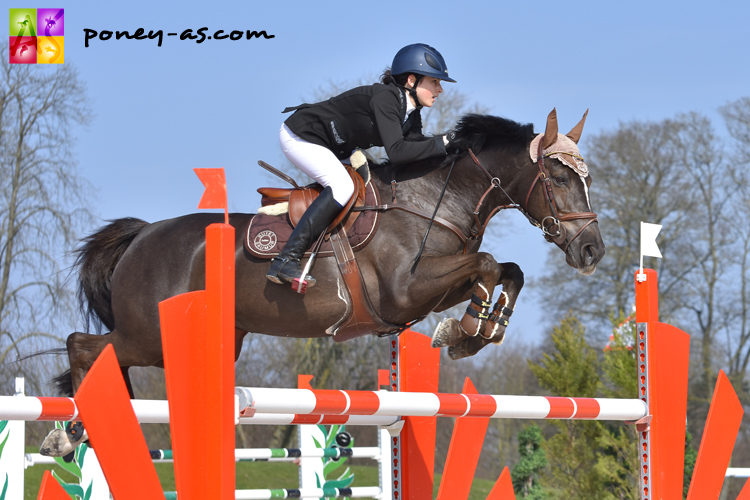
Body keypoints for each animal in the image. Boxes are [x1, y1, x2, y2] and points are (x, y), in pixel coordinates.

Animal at [39, 109, 604, 458]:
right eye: (557, 179)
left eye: (587, 179)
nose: (592, 251)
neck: (430, 202)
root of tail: (142, 235)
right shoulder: (404, 292)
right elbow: (487, 264)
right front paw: (464, 332)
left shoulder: (431, 287)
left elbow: (507, 271)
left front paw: (483, 328)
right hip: (150, 336)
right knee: (84, 344)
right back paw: (72, 433)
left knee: (95, 351)